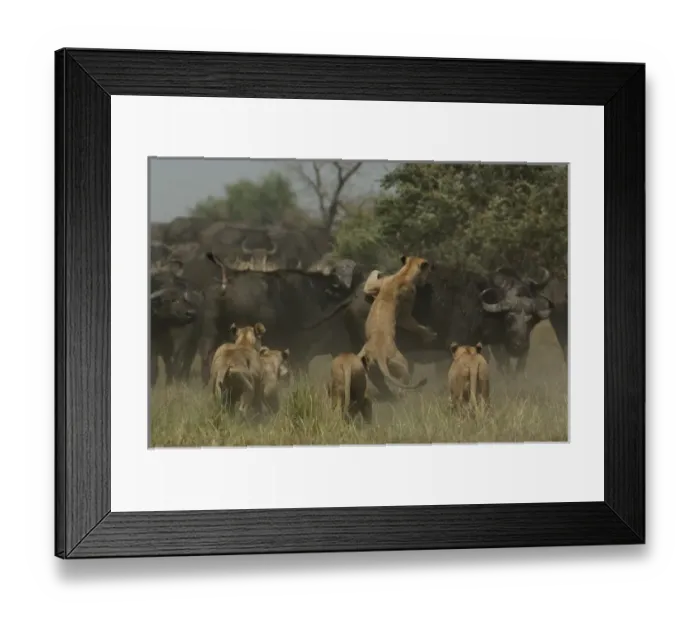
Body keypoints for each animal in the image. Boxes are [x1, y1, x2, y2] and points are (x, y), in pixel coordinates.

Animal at [357, 255, 437, 392]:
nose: (432, 267)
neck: (405, 273)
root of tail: (379, 355)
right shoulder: (404, 315)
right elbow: (417, 326)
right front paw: (430, 335)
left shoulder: (371, 286)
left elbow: (370, 280)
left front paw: (378, 271)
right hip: (400, 361)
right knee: (404, 383)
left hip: (361, 355)